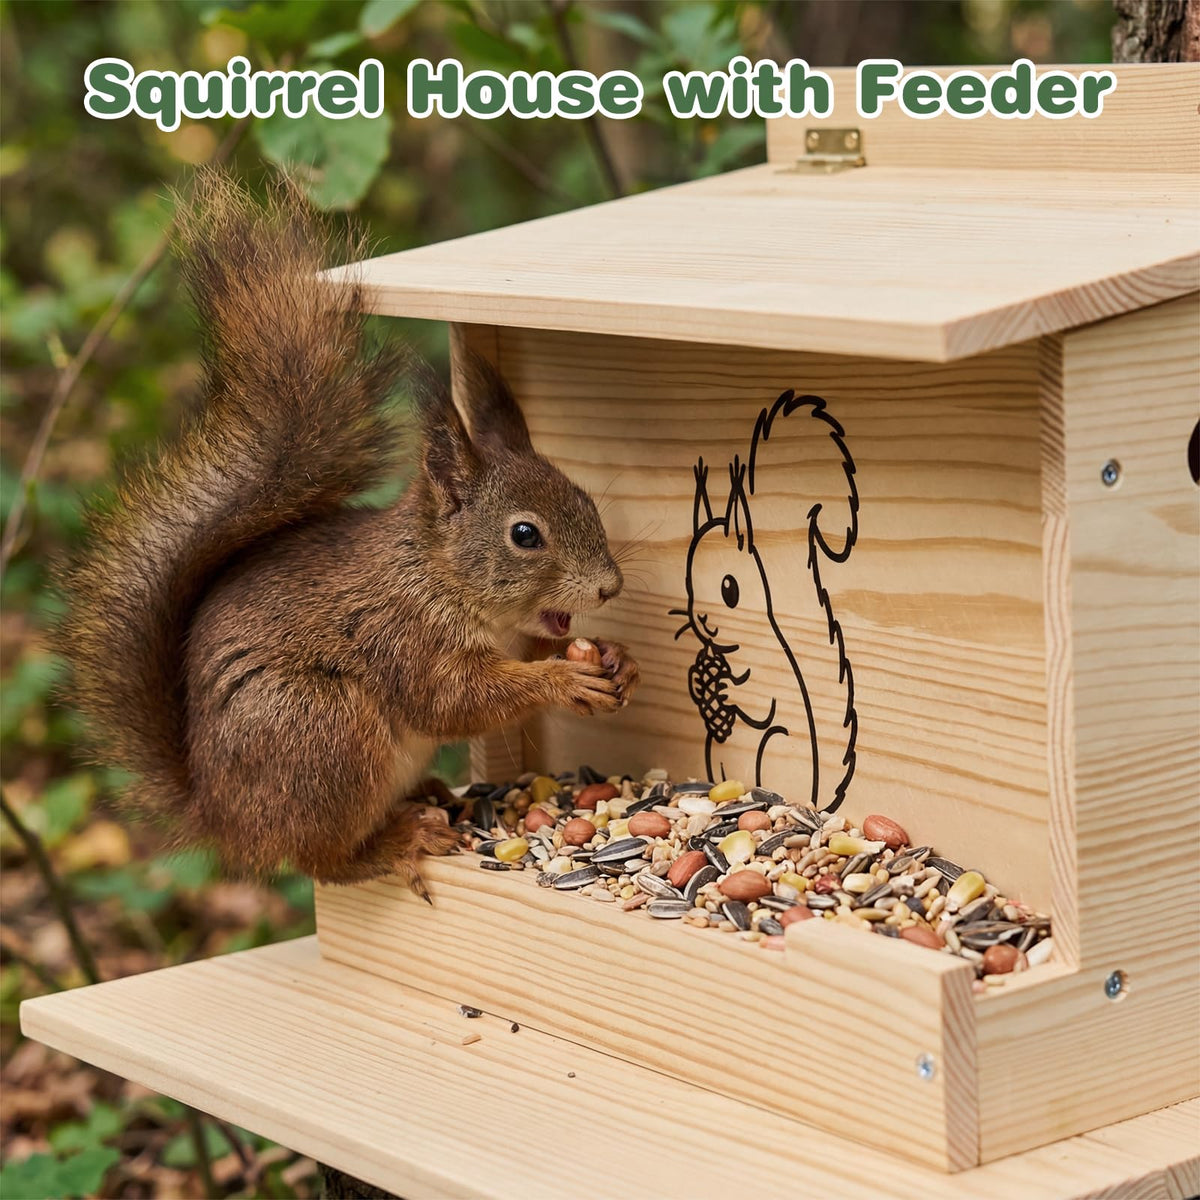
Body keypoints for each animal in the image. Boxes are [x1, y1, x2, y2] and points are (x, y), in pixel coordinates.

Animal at [58, 171, 639, 898]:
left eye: (585, 500)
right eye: (526, 535)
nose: (611, 587)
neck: (436, 573)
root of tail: (220, 818)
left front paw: (615, 659)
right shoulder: (401, 634)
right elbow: (456, 698)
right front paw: (563, 681)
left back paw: (429, 797)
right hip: (321, 732)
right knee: (322, 861)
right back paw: (400, 839)